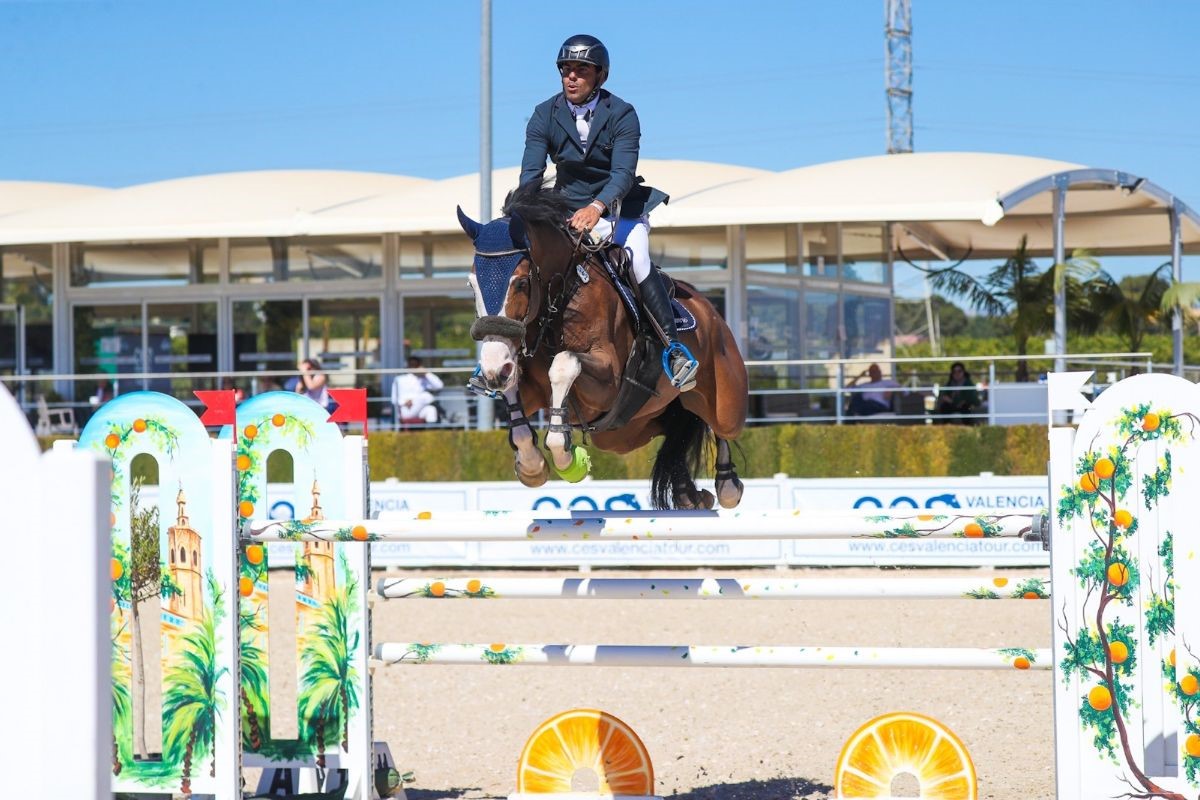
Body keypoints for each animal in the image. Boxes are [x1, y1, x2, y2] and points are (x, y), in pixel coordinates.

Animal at [453, 182, 744, 510]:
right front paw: (532, 466)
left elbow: (565, 364)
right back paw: (688, 493)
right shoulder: (528, 384)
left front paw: (567, 458)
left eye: (521, 283)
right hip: (625, 430)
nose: (493, 369)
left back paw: (727, 484)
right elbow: (515, 394)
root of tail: (710, 311)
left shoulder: (609, 381)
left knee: (720, 427)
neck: (560, 300)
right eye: (471, 285)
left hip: (725, 403)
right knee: (674, 430)